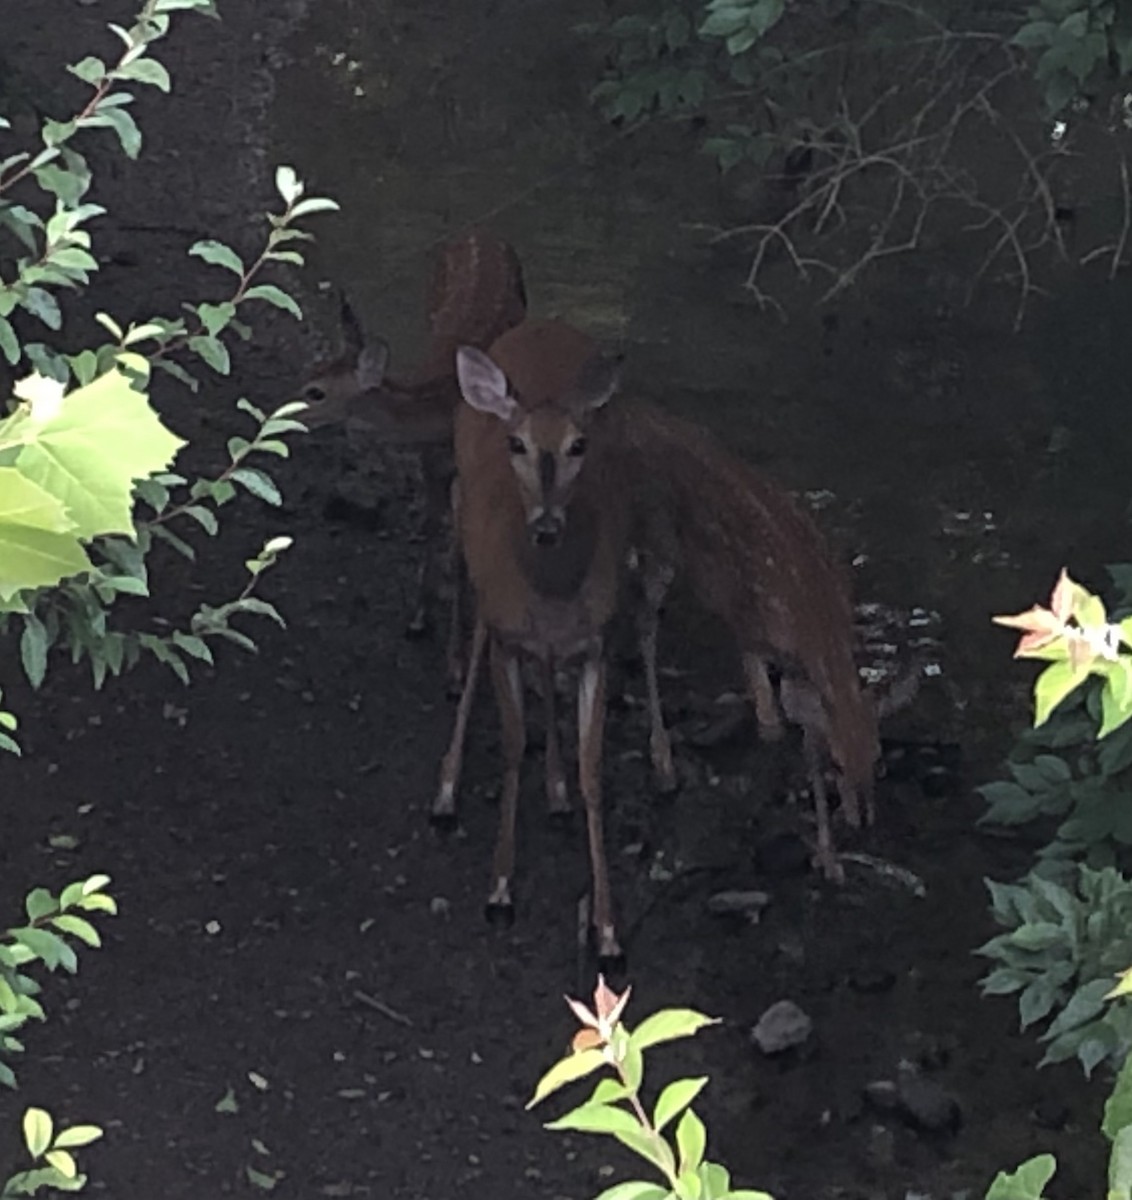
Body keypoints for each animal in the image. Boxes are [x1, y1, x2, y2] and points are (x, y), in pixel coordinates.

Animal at [296, 229, 527, 690]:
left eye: (316, 392)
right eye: (308, 374)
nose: (278, 414)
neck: (440, 409)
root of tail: (482, 234)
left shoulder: (467, 469)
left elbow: (459, 555)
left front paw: (456, 666)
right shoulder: (429, 461)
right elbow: (430, 527)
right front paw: (419, 619)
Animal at [436, 319, 632, 965]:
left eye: (579, 445)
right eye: (516, 444)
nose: (546, 525)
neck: (551, 594)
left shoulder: (597, 642)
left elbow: (594, 771)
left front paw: (608, 932)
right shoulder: (508, 635)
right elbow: (512, 745)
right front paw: (499, 888)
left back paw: (557, 789)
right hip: (469, 538)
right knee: (473, 637)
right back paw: (446, 790)